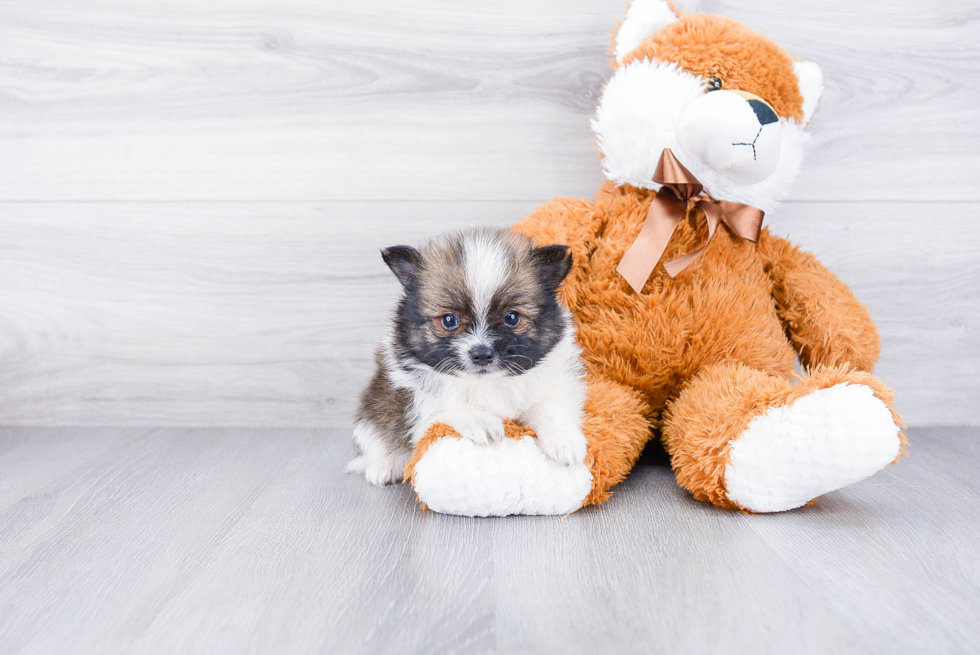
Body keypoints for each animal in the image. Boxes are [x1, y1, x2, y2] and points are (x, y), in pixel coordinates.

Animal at [348, 228, 584, 484]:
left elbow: (549, 409)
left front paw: (565, 442)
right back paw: (384, 466)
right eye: (449, 320)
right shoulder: (415, 402)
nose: (481, 354)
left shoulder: (552, 384)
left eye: (512, 318)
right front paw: (480, 421)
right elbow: (444, 409)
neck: (486, 383)